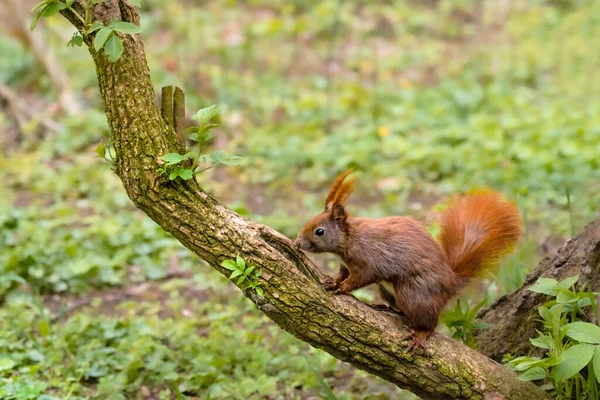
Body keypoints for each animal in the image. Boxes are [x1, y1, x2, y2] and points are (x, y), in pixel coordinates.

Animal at [294, 170, 520, 352]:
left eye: (319, 231)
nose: (297, 242)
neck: (349, 239)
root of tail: (450, 282)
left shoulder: (368, 259)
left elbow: (360, 278)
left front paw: (341, 287)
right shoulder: (344, 264)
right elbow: (343, 273)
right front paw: (333, 280)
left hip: (413, 293)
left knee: (430, 323)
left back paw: (420, 334)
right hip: (387, 291)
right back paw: (386, 308)